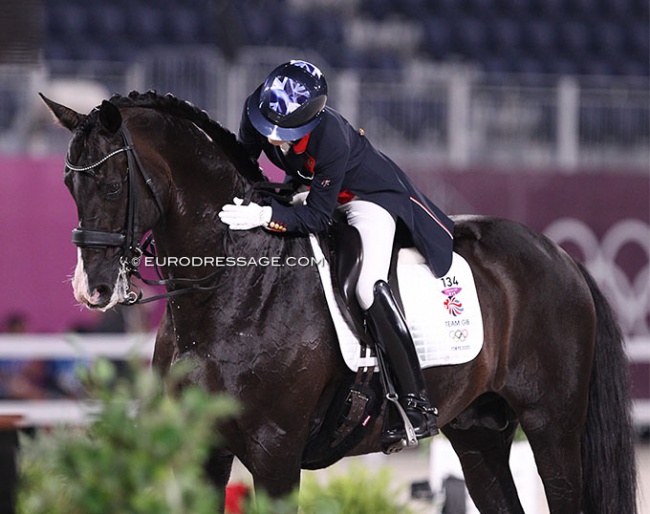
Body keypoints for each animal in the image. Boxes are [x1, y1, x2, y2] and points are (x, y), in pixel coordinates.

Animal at [41, 92, 636, 512]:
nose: (92, 289)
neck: (231, 287)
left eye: (112, 187)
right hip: (478, 435)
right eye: (68, 184)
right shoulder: (204, 450)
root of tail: (559, 255)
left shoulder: (276, 455)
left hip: (552, 427)